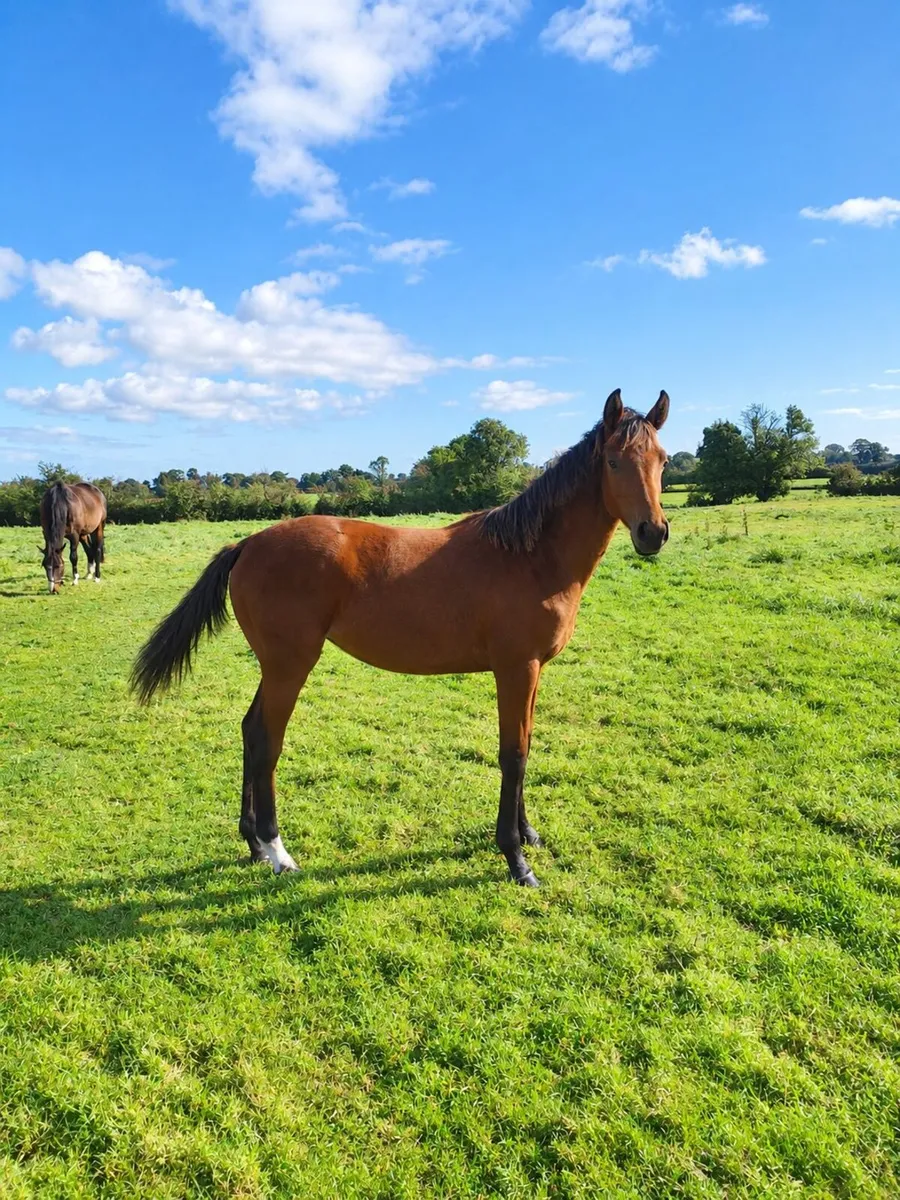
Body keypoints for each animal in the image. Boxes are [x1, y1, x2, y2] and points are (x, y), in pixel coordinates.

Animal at [132, 389, 670, 886]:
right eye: (613, 460)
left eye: (662, 460)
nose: (653, 533)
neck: (531, 556)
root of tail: (247, 543)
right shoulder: (516, 668)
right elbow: (512, 755)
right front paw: (517, 859)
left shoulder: (532, 670)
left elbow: (526, 745)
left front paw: (529, 834)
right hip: (289, 665)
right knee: (267, 740)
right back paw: (276, 851)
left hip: (275, 666)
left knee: (249, 730)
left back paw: (252, 846)